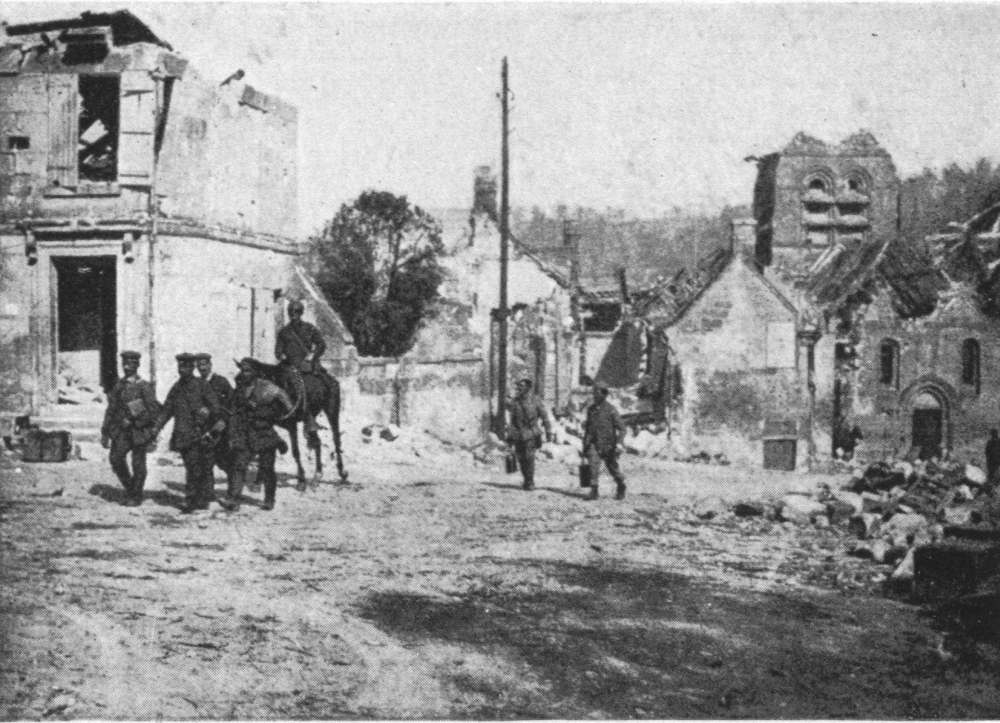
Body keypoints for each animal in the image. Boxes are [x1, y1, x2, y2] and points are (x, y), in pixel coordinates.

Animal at [243, 358, 348, 489]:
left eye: (248, 376)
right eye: (237, 379)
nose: (247, 403)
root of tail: (330, 378)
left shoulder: (291, 425)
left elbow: (295, 452)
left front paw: (301, 481)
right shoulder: (268, 423)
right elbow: (264, 448)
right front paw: (257, 482)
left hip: (332, 410)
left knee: (336, 439)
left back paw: (342, 473)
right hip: (311, 417)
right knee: (316, 440)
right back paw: (317, 476)